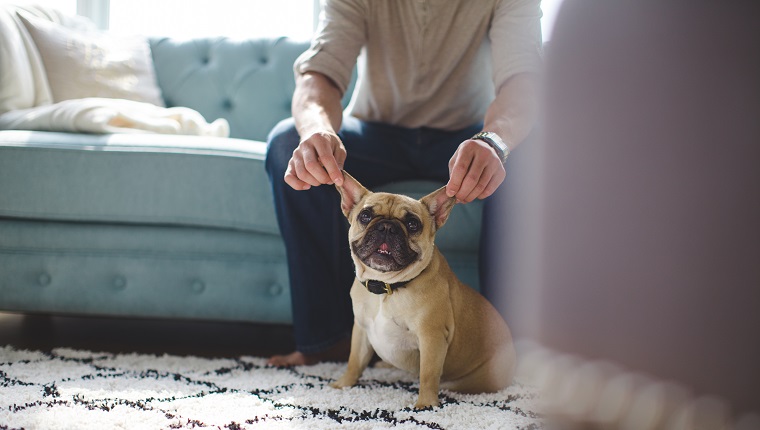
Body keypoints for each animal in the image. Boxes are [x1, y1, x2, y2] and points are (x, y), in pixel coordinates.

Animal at [332, 171, 516, 410]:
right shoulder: (362, 329)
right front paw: (343, 384)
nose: (387, 227)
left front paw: (426, 404)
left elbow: (428, 374)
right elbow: (354, 361)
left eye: (412, 224)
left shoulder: (431, 336)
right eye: (365, 215)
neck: (386, 287)